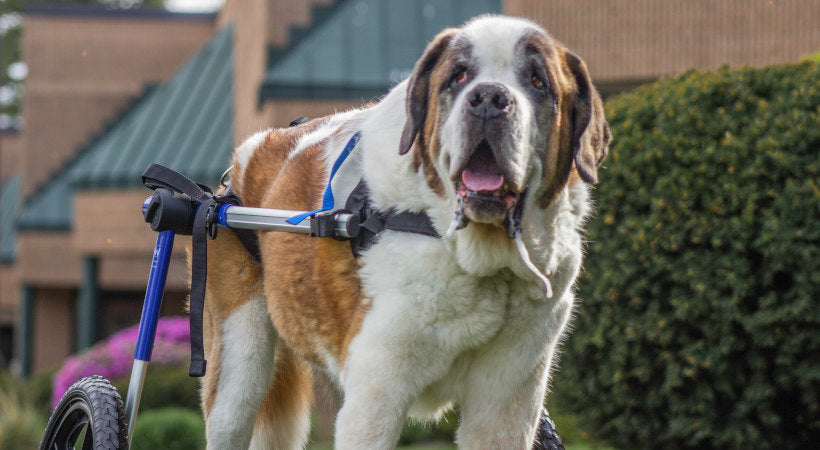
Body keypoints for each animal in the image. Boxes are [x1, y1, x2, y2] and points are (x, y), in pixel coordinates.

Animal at [199, 14, 608, 450]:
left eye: (536, 81)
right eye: (459, 76)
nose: (488, 99)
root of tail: (237, 169)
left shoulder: (508, 401)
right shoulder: (376, 392)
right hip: (239, 363)